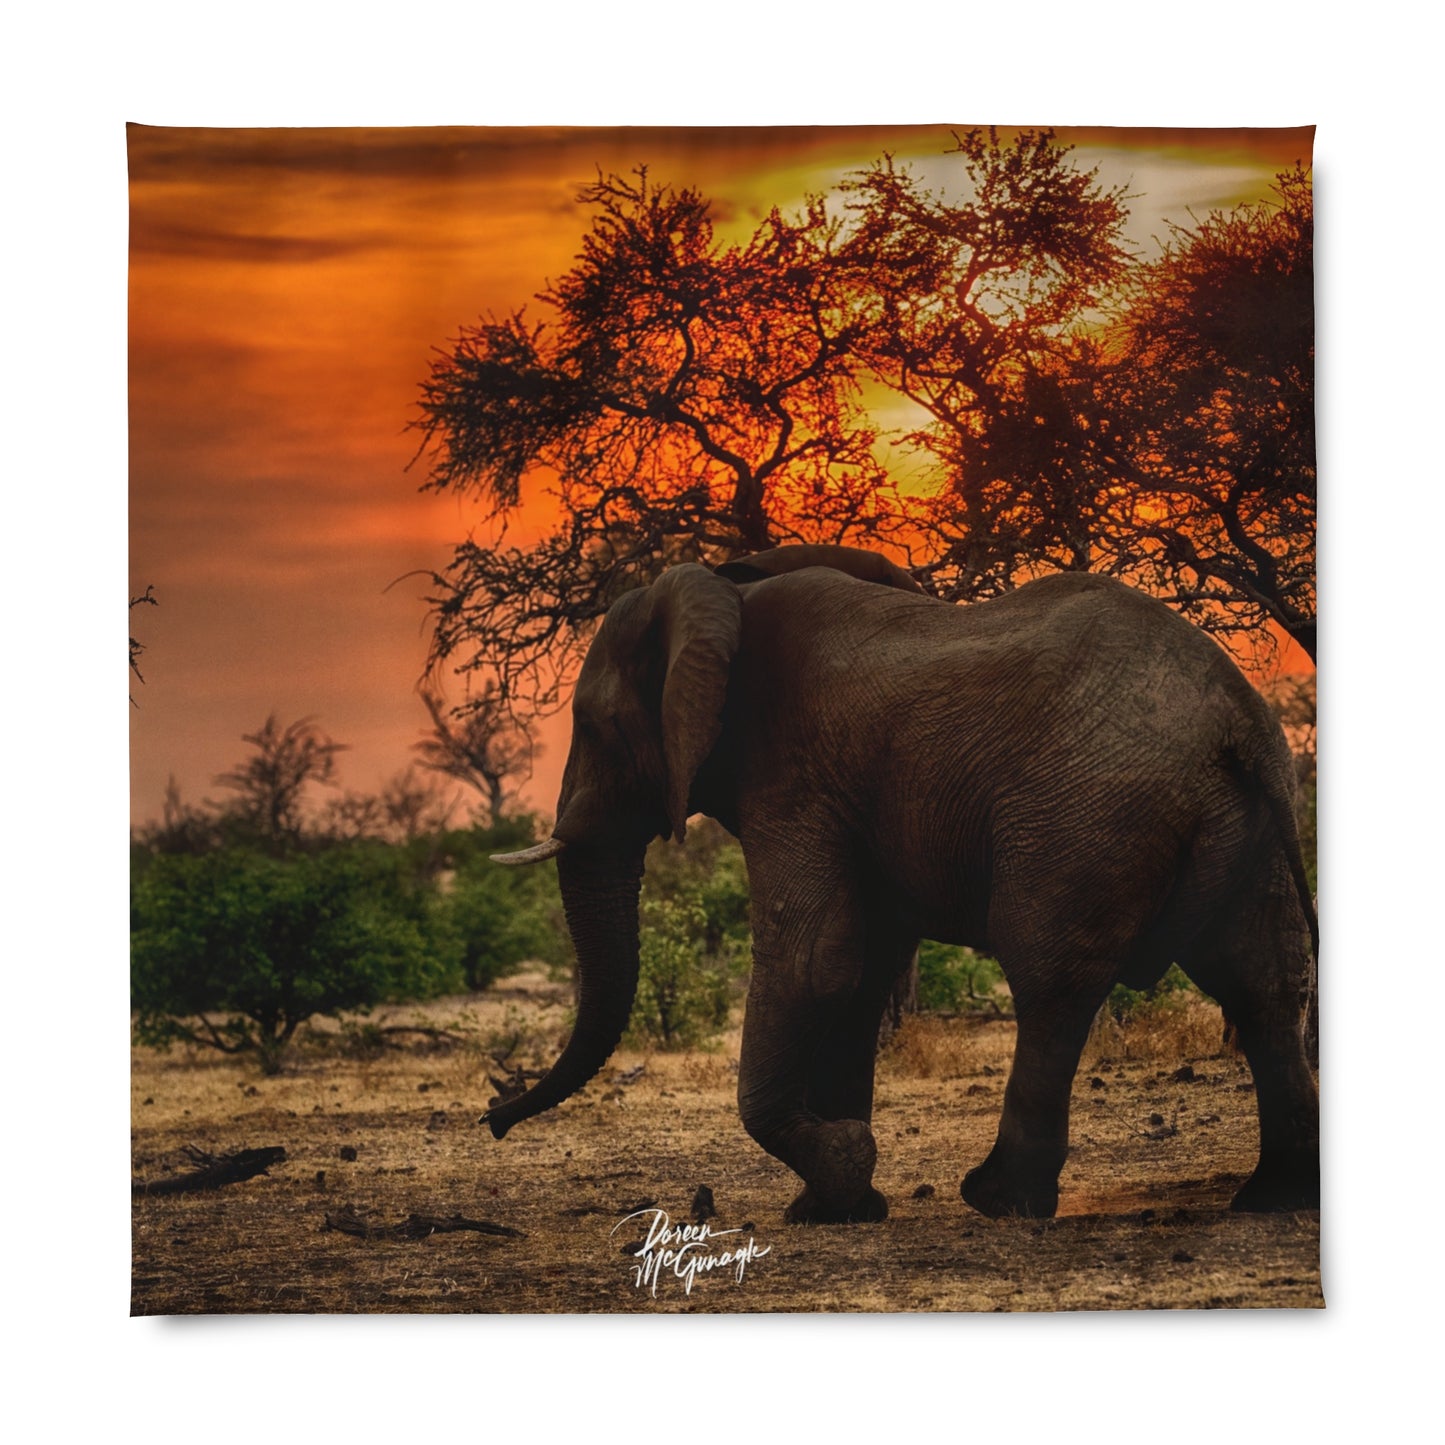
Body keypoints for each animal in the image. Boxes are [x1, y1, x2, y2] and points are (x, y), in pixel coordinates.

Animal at [487, 544, 1319, 1224]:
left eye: (593, 725)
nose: (494, 1115)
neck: (726, 592)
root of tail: (1239, 715)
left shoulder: (793, 780)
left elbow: (811, 961)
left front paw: (845, 1165)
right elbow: (858, 975)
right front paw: (833, 1208)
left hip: (1088, 813)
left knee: (1049, 980)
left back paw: (998, 1199)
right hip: (1243, 826)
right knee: (1264, 985)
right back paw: (1272, 1195)